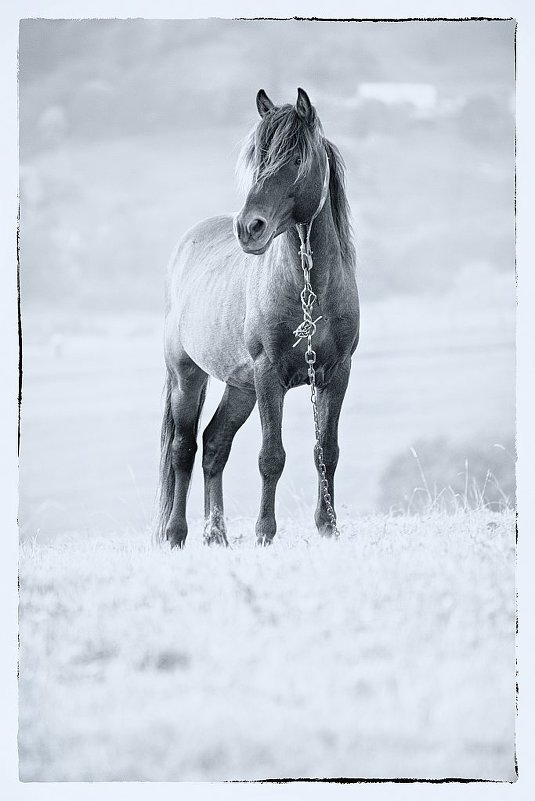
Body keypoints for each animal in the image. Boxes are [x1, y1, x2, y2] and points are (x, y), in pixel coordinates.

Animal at [158, 89, 360, 552]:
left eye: (296, 159)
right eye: (257, 157)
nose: (249, 228)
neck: (309, 291)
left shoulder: (337, 373)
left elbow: (327, 451)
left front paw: (328, 526)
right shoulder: (269, 374)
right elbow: (272, 456)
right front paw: (265, 533)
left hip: (240, 388)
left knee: (214, 444)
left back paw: (216, 534)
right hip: (187, 376)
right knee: (183, 448)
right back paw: (176, 535)